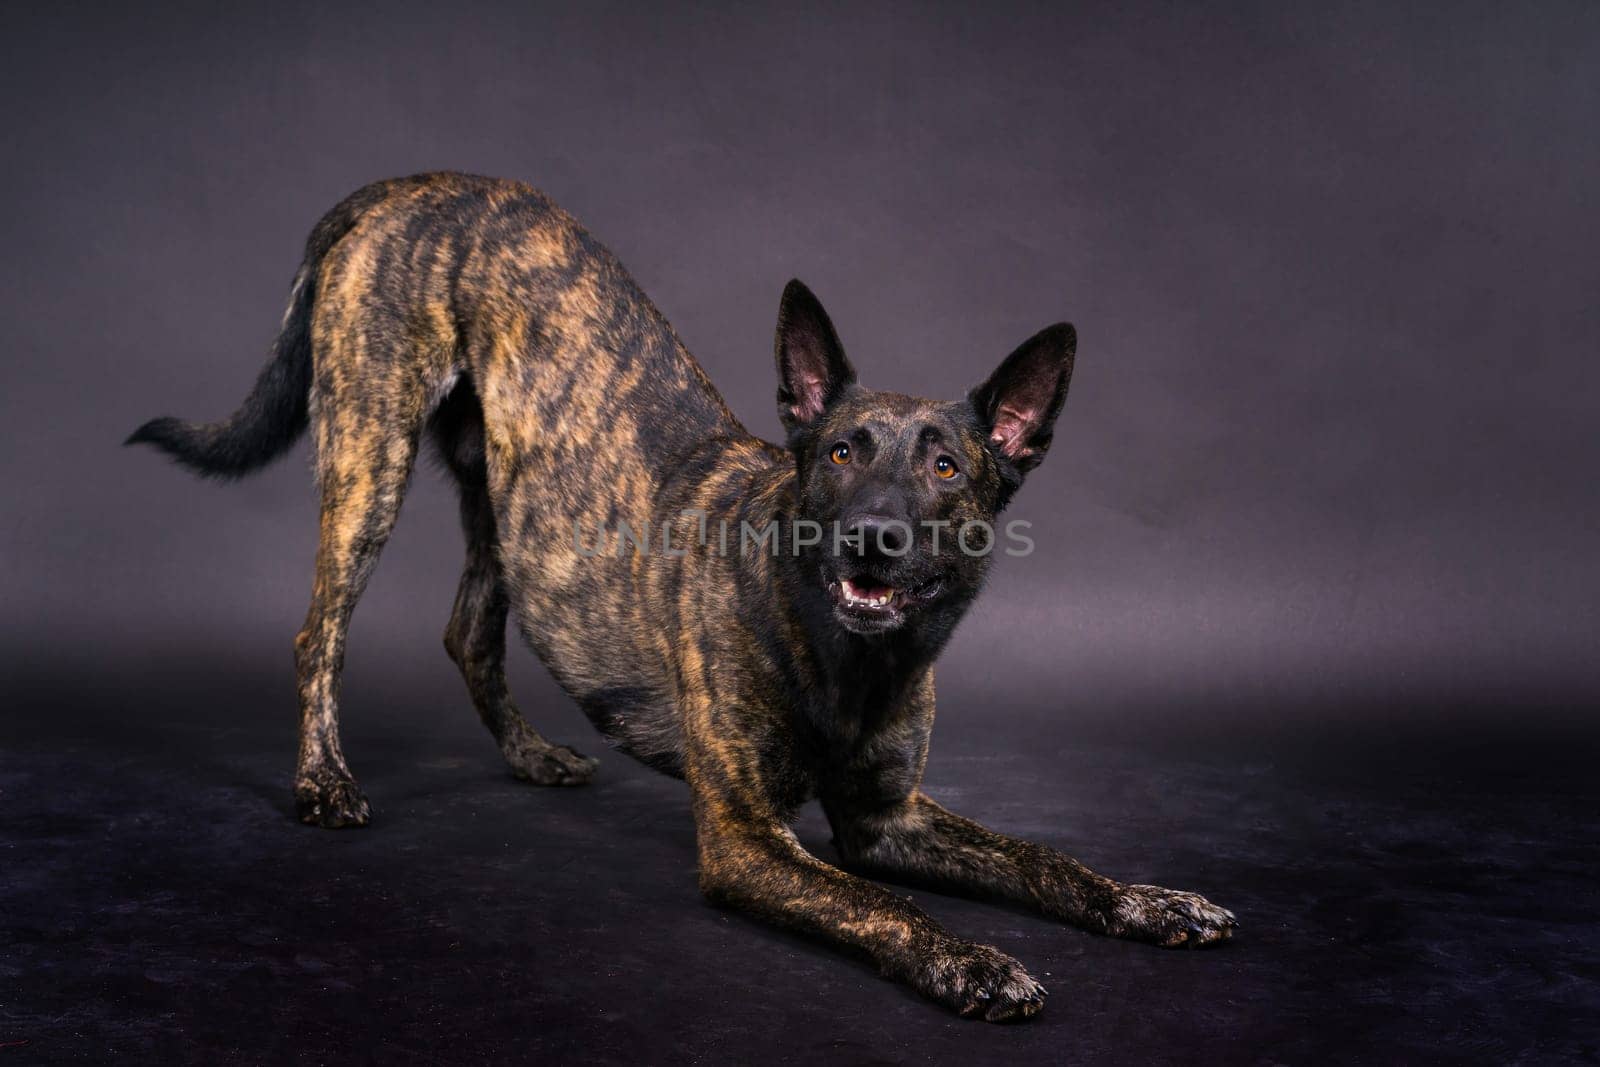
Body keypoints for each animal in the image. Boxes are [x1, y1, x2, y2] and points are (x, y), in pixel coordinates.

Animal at [134, 173, 1235, 1017]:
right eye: (840, 454)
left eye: (947, 467)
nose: (873, 538)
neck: (845, 655)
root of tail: (416, 185)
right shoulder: (747, 841)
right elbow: (887, 906)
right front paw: (972, 958)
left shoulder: (890, 818)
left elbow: (1044, 856)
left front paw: (1147, 899)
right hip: (372, 454)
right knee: (318, 630)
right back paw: (324, 781)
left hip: (509, 504)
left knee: (468, 632)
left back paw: (531, 754)